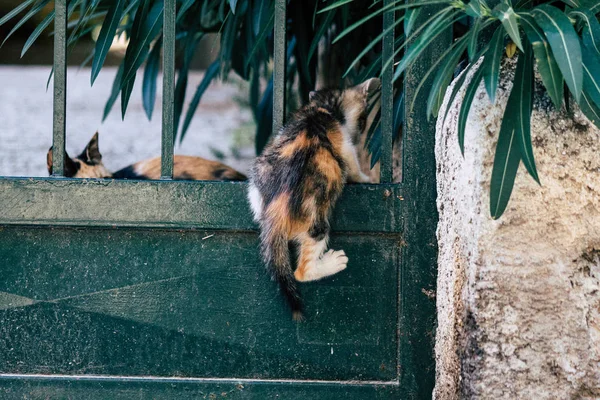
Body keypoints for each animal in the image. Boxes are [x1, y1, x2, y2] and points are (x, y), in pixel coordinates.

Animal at [247, 79, 380, 322]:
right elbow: (353, 166)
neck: (321, 107)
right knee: (301, 271)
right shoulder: (345, 147)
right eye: (364, 118)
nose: (361, 133)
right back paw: (333, 262)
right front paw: (366, 178)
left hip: (257, 175)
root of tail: (276, 212)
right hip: (317, 223)